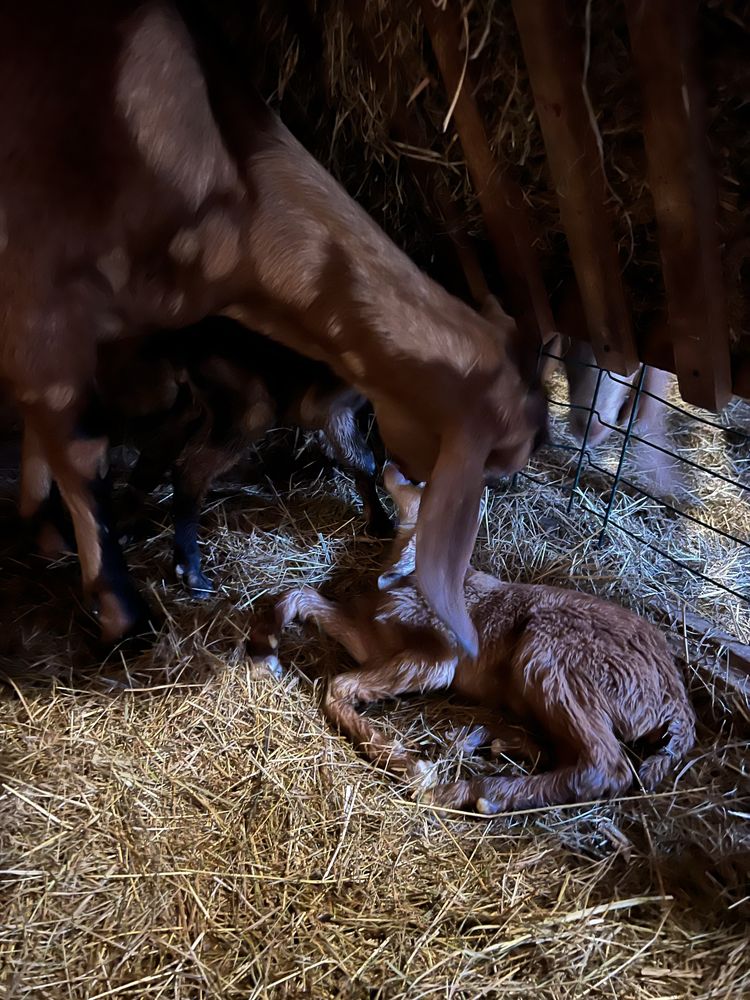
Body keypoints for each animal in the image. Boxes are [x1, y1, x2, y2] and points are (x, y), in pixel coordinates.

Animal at [2, 1, 548, 648]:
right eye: (500, 460)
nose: (523, 470)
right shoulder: (41, 296)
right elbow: (83, 447)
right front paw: (121, 613)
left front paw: (43, 525)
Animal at [264, 464, 700, 816]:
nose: (390, 465)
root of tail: (676, 701)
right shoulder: (371, 643)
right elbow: (302, 597)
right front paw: (267, 639)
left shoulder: (438, 658)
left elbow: (338, 685)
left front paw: (405, 761)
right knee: (561, 752)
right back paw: (484, 742)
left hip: (551, 656)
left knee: (604, 767)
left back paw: (469, 791)